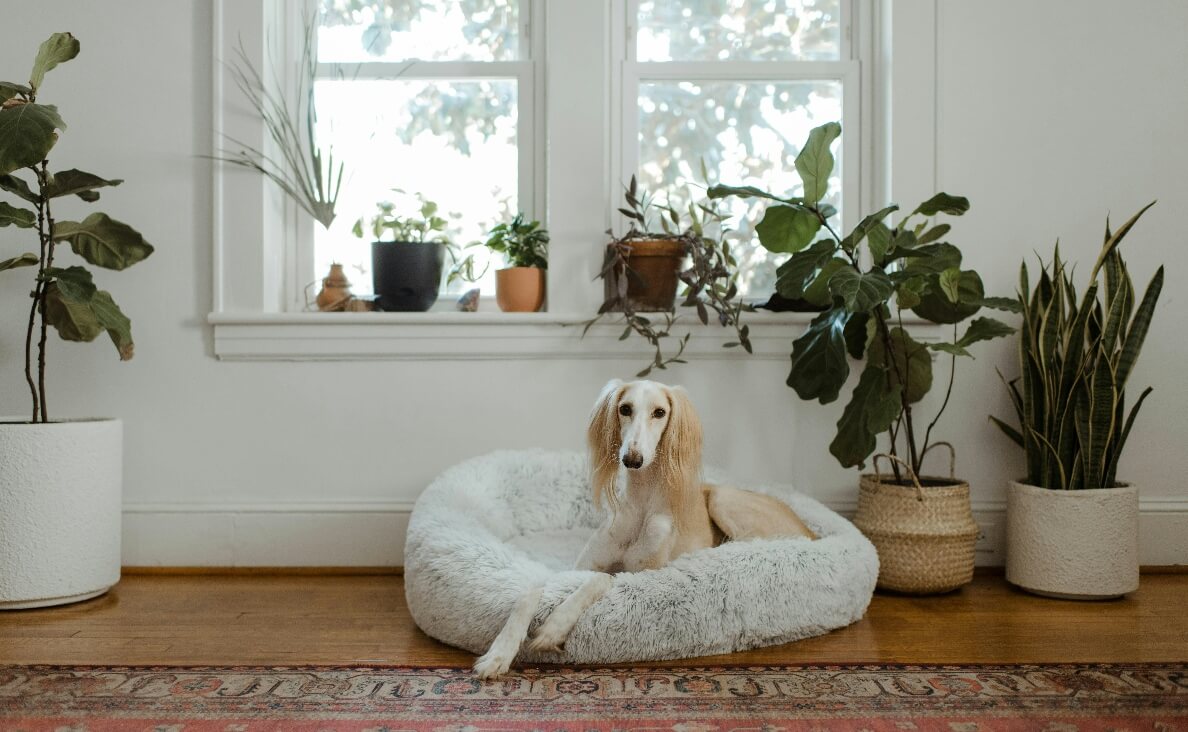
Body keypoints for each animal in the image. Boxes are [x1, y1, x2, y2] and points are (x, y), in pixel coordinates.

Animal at [472, 380, 817, 679]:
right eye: (625, 408)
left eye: (659, 412)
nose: (632, 459)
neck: (641, 506)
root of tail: (812, 531)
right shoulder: (577, 567)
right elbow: (531, 590)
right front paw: (499, 653)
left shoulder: (642, 575)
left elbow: (602, 579)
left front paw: (554, 627)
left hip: (723, 499)